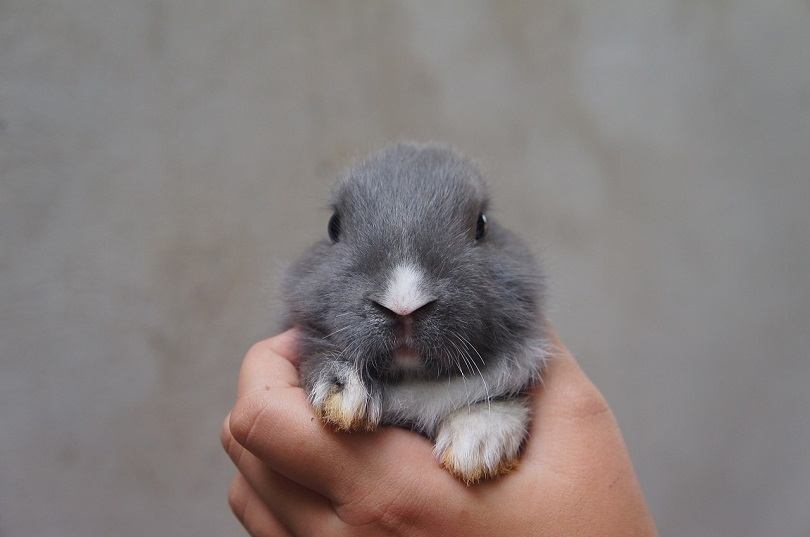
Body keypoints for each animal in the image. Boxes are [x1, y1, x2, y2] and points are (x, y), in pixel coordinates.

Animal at [282, 142, 548, 484]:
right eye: (333, 226)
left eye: (482, 225)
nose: (404, 305)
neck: (414, 381)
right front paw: (344, 391)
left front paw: (478, 445)